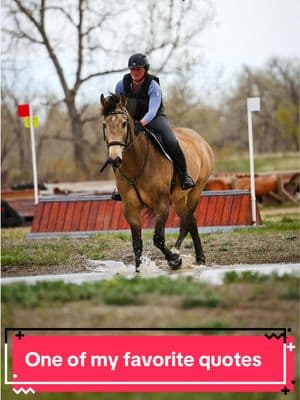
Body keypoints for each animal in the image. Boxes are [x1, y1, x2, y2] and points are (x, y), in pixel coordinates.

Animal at [99, 93, 214, 272]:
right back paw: (199, 258)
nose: (115, 159)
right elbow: (137, 242)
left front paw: (174, 260)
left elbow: (158, 239)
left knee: (187, 220)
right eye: (104, 125)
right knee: (191, 220)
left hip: (196, 190)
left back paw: (178, 253)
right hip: (179, 197)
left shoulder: (162, 203)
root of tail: (200, 139)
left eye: (124, 124)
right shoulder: (130, 208)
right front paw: (138, 269)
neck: (136, 164)